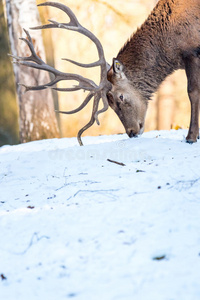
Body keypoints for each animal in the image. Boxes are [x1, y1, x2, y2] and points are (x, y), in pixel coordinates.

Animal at [10, 0, 200, 145]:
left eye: (120, 97)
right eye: (110, 103)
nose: (131, 132)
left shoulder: (190, 51)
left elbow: (192, 92)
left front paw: (191, 137)